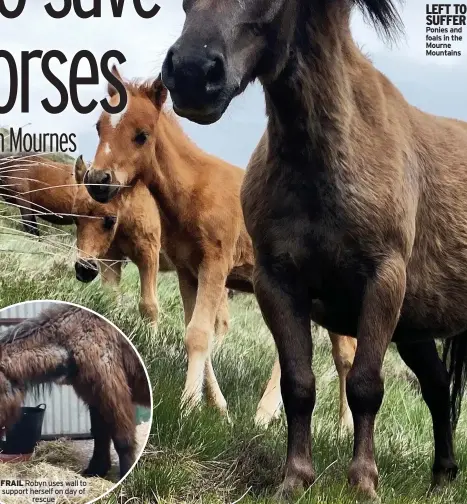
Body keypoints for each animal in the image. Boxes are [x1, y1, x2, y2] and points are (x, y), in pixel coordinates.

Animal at [0, 304, 151, 480]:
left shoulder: (112, 390)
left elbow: (123, 439)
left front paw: (126, 475)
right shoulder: (94, 394)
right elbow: (99, 433)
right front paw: (95, 470)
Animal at [158, 0, 467, 500]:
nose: (190, 72)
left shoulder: (383, 282)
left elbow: (365, 385)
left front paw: (363, 483)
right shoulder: (278, 284)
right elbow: (298, 384)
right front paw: (295, 479)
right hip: (414, 331)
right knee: (439, 389)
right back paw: (441, 477)